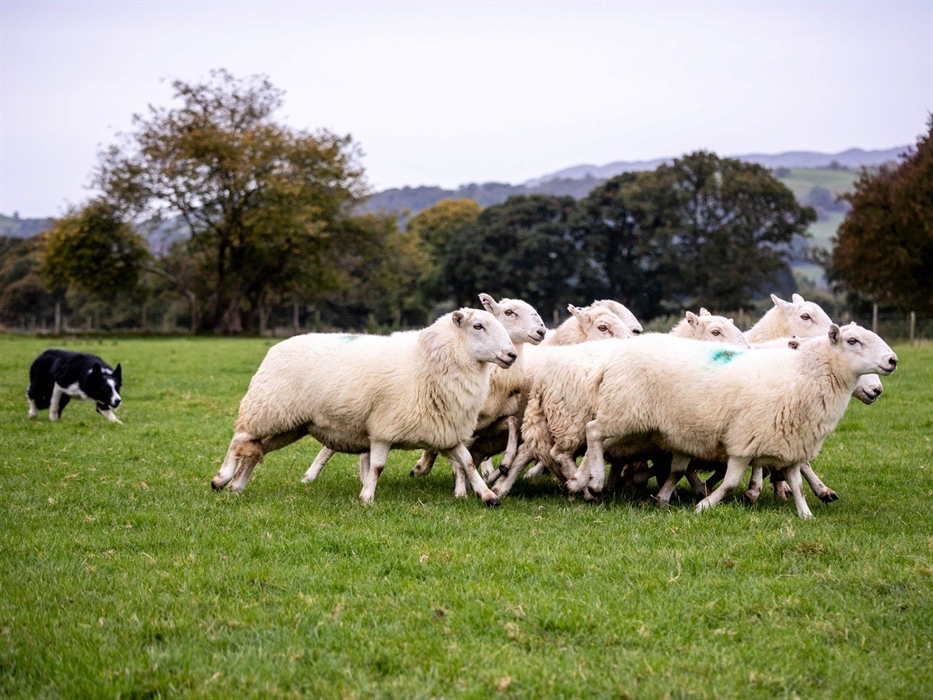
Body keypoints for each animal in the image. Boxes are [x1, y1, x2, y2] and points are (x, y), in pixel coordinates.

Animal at [211, 308, 517, 506]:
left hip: (291, 425)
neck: (427, 359)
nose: (512, 355)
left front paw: (487, 496)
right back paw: (220, 478)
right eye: (478, 326)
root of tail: (276, 347)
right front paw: (367, 498)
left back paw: (237, 486)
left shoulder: (445, 429)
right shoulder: (383, 428)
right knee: (239, 437)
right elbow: (378, 466)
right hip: (267, 409)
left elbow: (467, 462)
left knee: (255, 449)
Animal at [490, 311, 747, 499]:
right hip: (571, 420)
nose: (746, 350)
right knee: (558, 453)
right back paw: (582, 487)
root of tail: (544, 377)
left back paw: (503, 486)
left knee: (530, 450)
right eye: (716, 331)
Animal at [576, 324, 897, 518]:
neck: (799, 374)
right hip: (624, 411)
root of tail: (614, 357)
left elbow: (796, 482)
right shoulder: (744, 440)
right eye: (852, 341)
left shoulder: (792, 442)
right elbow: (730, 482)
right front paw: (705, 504)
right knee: (593, 432)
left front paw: (805, 512)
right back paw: (593, 480)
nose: (893, 360)